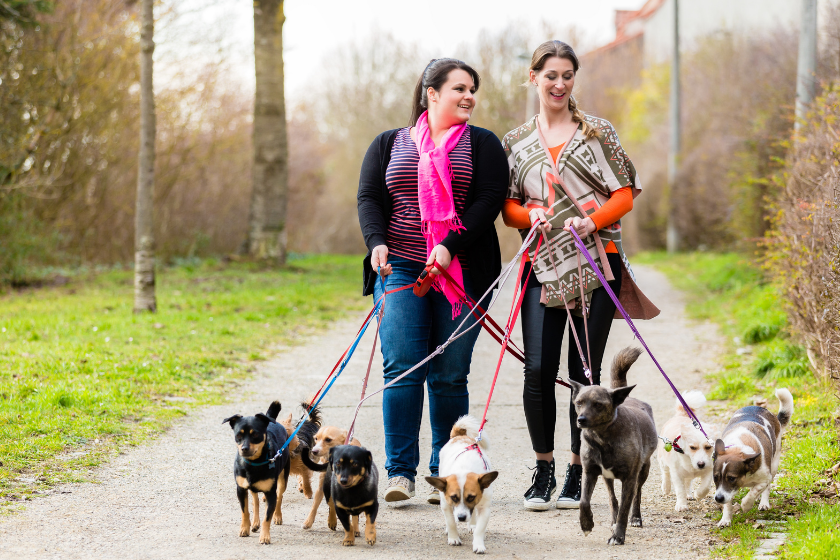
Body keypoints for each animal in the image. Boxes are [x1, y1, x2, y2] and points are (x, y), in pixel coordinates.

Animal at [223, 400, 292, 544]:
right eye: (238, 435)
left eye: (255, 434)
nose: (244, 448)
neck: (253, 463)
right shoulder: (241, 489)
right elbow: (245, 511)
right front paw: (245, 528)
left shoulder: (271, 493)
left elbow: (267, 517)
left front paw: (265, 536)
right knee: (256, 501)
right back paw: (255, 523)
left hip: (283, 478)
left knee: (280, 496)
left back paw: (277, 516)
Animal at [426, 414, 498, 552]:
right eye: (454, 497)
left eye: (471, 497)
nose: (461, 518)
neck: (464, 468)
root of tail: (460, 436)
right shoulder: (446, 504)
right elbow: (451, 522)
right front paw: (453, 538)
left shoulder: (485, 509)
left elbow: (480, 529)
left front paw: (478, 544)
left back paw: (472, 524)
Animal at [568, 348, 660, 544]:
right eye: (579, 402)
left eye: (598, 405)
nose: (581, 420)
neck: (602, 439)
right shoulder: (590, 472)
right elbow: (584, 501)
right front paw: (586, 525)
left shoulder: (630, 478)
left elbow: (625, 508)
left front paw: (618, 536)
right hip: (606, 478)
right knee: (612, 499)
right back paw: (612, 519)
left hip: (643, 470)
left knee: (637, 495)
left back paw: (635, 518)